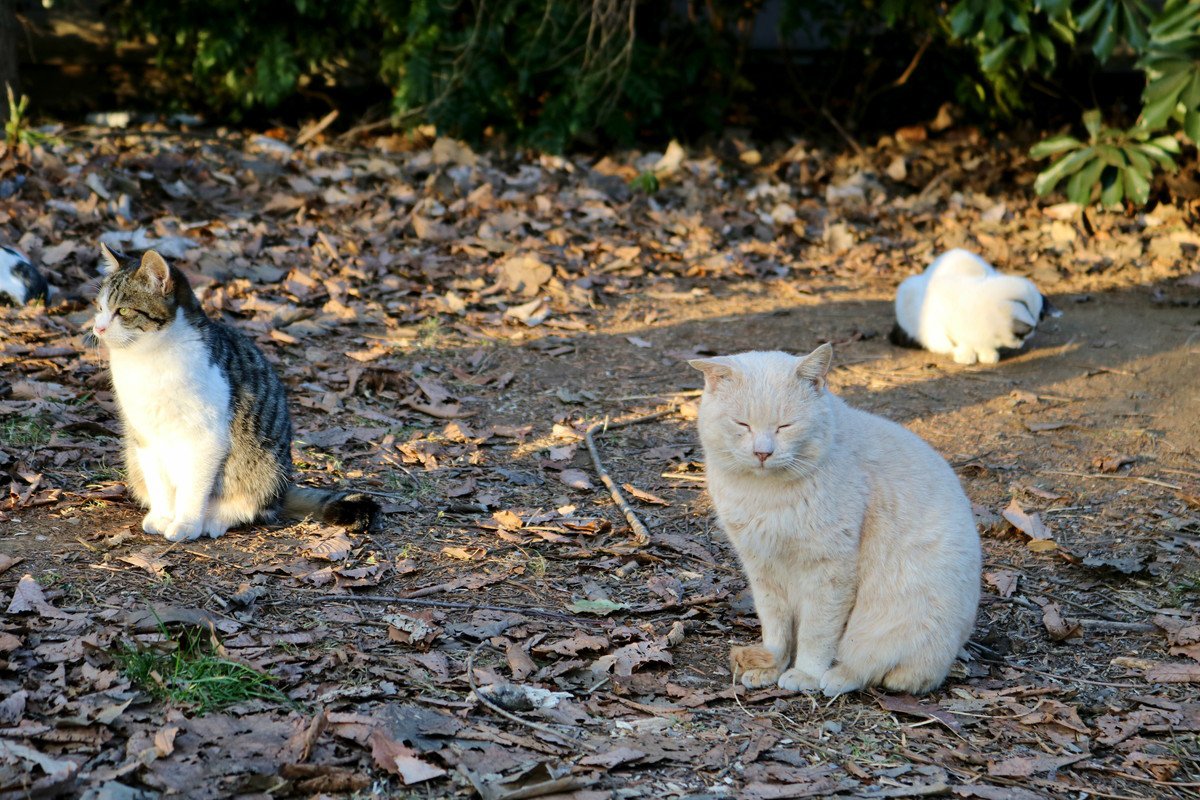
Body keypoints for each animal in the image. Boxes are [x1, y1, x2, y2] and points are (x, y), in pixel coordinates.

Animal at [88, 244, 374, 544]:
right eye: (100, 308)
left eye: (123, 311)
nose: (98, 327)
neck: (147, 361)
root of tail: (284, 488)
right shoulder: (144, 435)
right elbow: (159, 483)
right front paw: (164, 516)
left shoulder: (206, 436)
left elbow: (193, 488)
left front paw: (186, 524)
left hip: (264, 465)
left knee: (252, 505)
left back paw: (215, 519)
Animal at [691, 347, 979, 695]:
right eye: (742, 424)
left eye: (785, 426)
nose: (763, 453)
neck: (764, 495)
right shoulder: (761, 566)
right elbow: (775, 623)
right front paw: (770, 665)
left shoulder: (830, 570)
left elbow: (817, 632)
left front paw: (806, 674)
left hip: (890, 618)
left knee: (878, 668)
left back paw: (835, 678)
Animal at [892, 248, 1060, 367]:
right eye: (1019, 336)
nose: (1021, 345)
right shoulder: (940, 318)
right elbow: (957, 341)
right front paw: (965, 355)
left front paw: (988, 354)